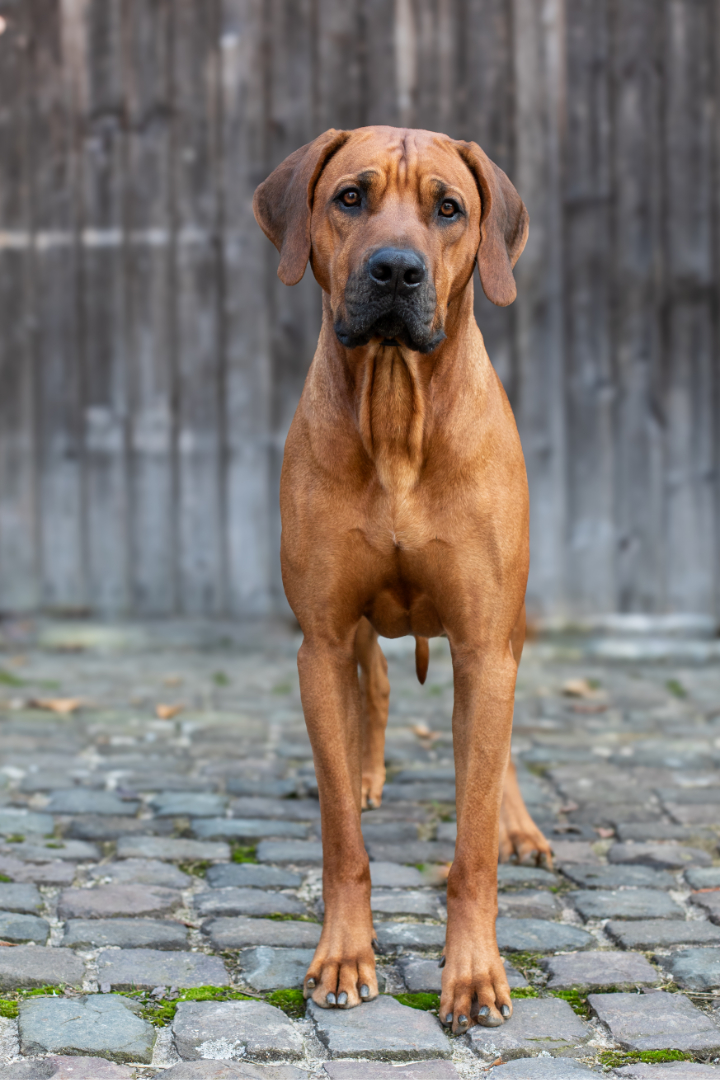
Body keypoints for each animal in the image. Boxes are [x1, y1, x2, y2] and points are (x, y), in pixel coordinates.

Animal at [253, 126, 552, 1032]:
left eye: (447, 208)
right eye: (350, 196)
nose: (394, 269)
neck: (395, 416)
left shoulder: (486, 642)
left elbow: (471, 842)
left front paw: (475, 973)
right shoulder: (319, 639)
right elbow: (340, 841)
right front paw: (344, 956)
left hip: (509, 630)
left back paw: (517, 826)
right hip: (353, 635)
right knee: (372, 694)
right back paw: (365, 775)